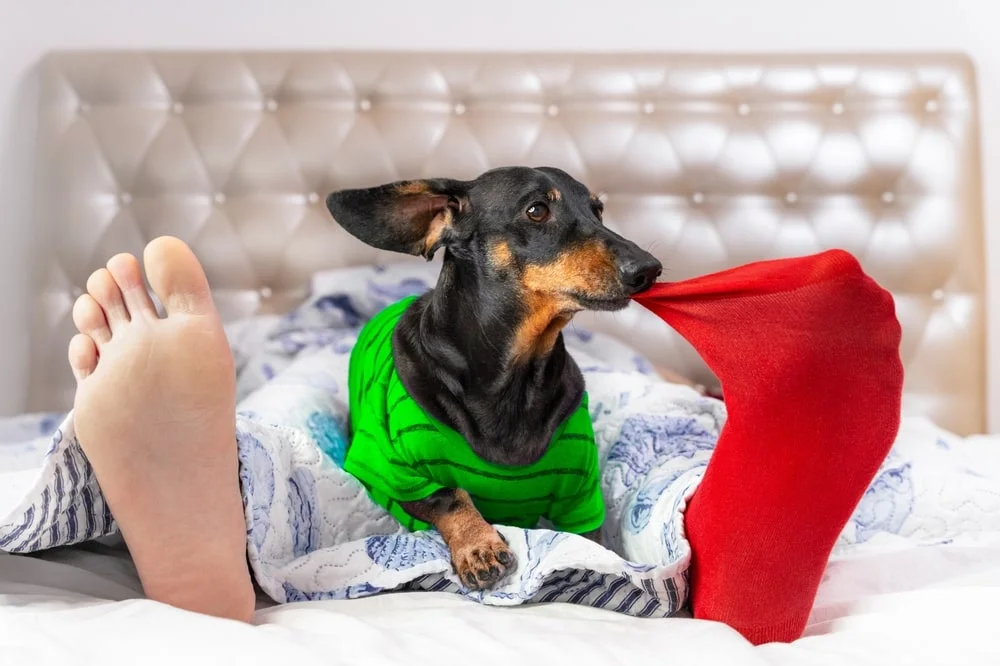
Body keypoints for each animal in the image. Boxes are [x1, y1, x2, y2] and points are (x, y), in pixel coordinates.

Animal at [324, 169, 660, 588]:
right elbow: (449, 495)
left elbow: (588, 544)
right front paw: (478, 545)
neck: (512, 379)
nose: (649, 269)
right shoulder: (389, 469)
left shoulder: (581, 493)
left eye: (597, 209)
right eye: (537, 210)